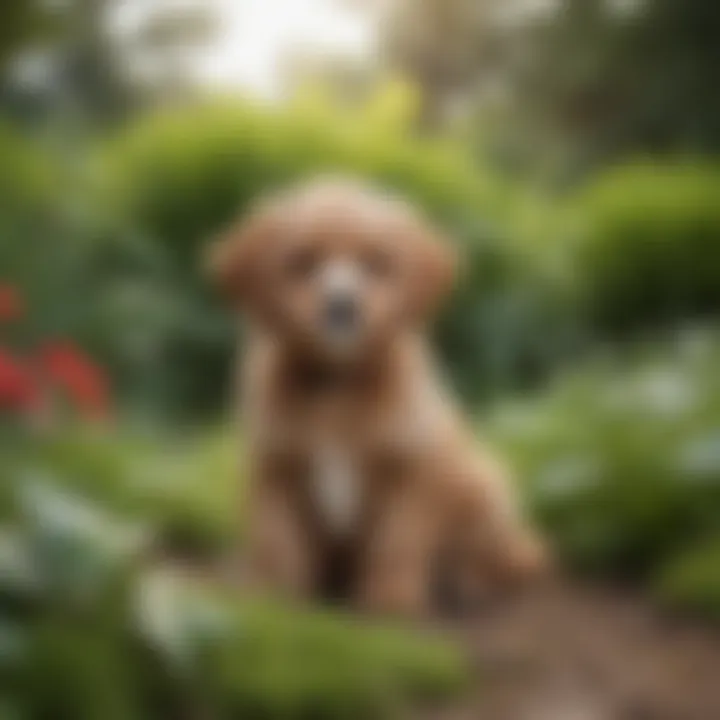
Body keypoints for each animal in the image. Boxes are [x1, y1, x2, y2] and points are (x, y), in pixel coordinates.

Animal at [208, 177, 544, 616]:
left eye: (377, 263)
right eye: (302, 261)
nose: (342, 306)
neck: (337, 384)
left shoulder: (410, 469)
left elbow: (395, 541)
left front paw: (391, 601)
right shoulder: (275, 467)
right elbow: (278, 542)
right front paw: (273, 600)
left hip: (483, 485)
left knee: (511, 556)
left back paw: (473, 581)